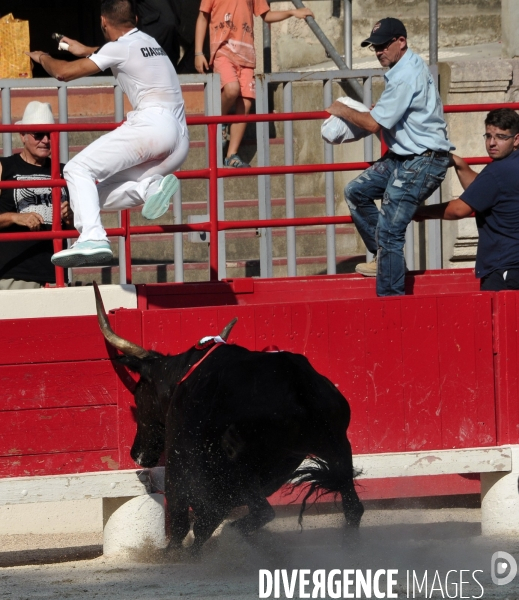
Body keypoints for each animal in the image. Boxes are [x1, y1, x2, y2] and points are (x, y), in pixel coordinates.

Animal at [93, 284, 364, 556]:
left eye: (138, 395)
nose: (137, 454)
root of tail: (299, 384)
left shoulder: (179, 461)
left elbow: (183, 518)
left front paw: (174, 554)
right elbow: (207, 519)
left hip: (242, 465)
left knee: (260, 511)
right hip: (335, 449)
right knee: (353, 507)